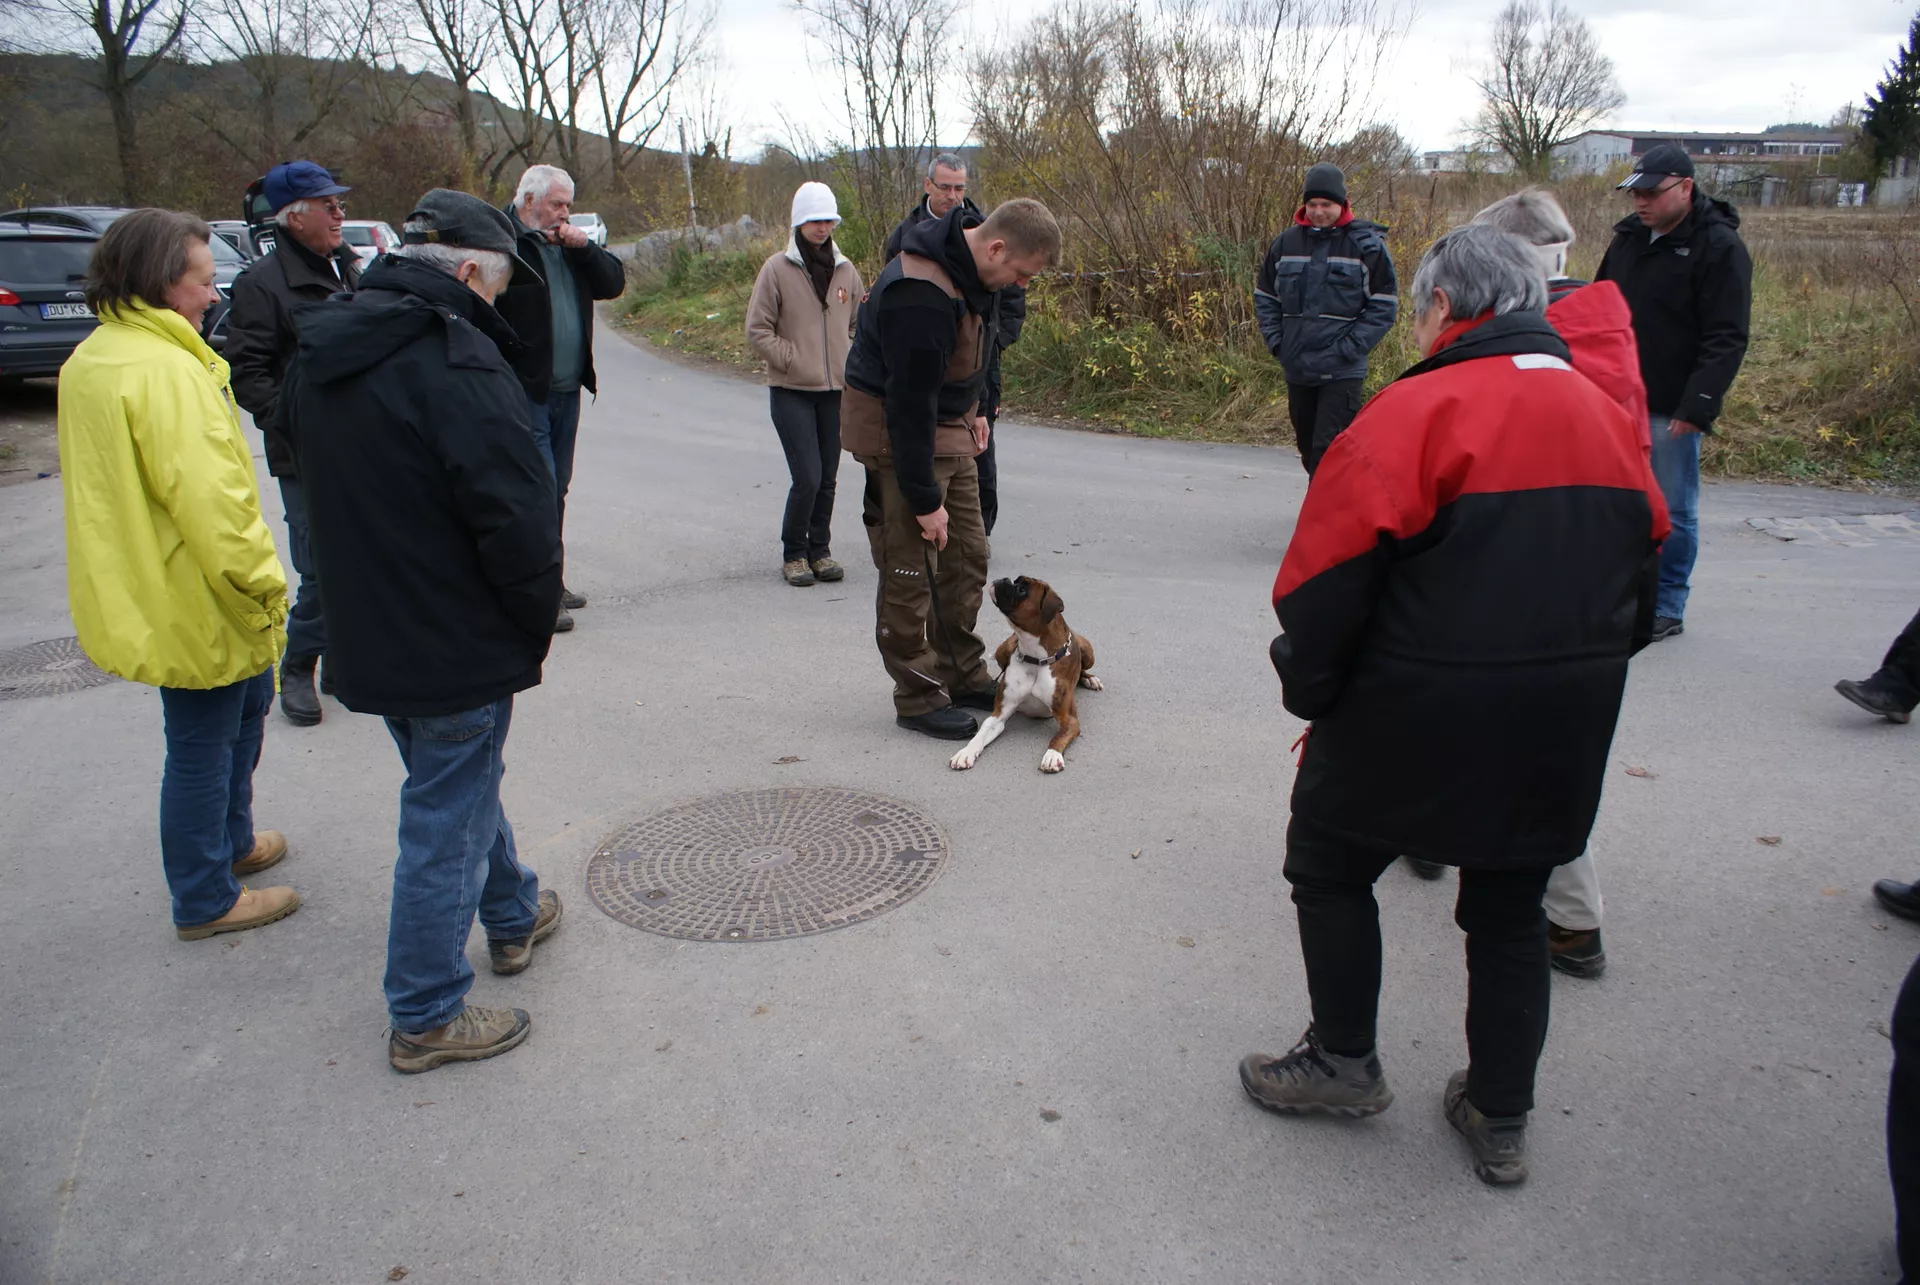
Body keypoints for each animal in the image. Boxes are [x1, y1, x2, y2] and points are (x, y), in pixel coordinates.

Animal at [949, 575, 1102, 773]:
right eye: (1016, 582)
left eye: (1022, 590)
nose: (1004, 579)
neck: (1035, 658)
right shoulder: (998, 715)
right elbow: (981, 733)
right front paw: (966, 752)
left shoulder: (1070, 720)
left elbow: (1058, 737)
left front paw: (1052, 755)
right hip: (1003, 650)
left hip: (1088, 651)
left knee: (1084, 667)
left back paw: (1091, 679)